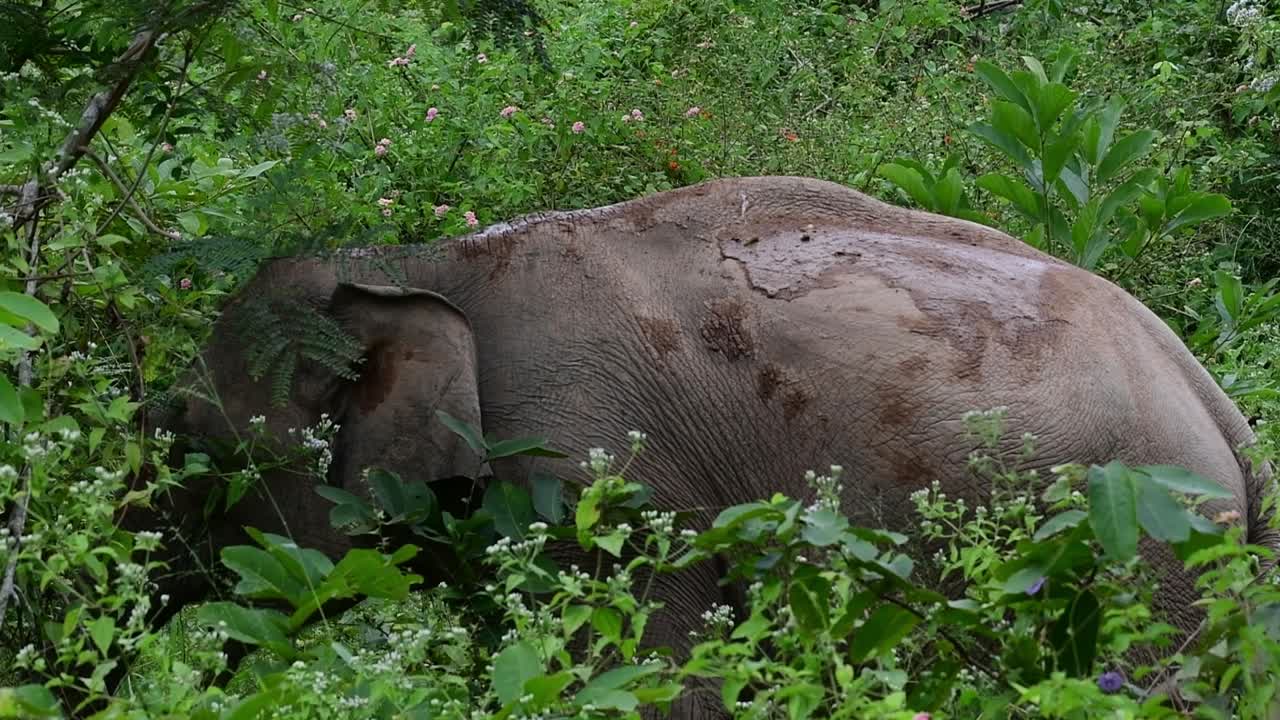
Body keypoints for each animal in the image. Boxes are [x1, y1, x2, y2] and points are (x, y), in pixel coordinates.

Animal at [135, 175, 1273, 717]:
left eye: (186, 435)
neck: (423, 259)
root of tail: (1220, 411)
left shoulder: (596, 473)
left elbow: (653, 680)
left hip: (1147, 559)